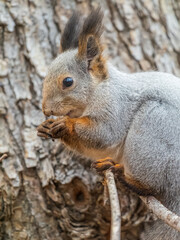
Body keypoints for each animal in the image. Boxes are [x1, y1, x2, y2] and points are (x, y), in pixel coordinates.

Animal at [37, 7, 180, 240]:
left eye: (68, 82)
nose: (45, 110)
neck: (100, 89)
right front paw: (46, 127)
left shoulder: (115, 107)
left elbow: (104, 135)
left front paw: (65, 124)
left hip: (152, 128)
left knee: (152, 187)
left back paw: (126, 178)